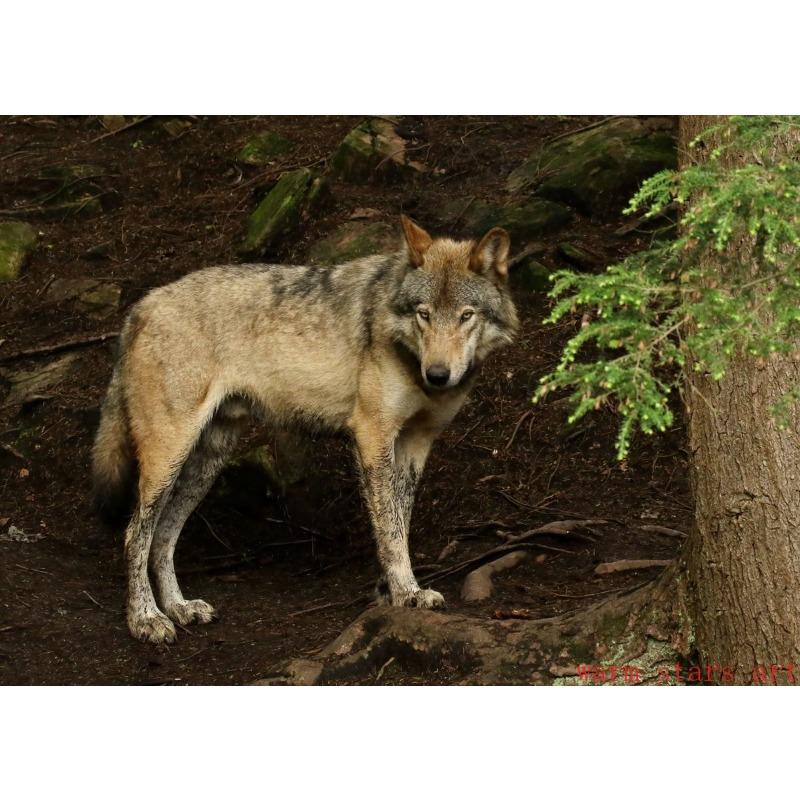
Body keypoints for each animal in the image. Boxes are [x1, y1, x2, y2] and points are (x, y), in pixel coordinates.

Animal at [92, 215, 518, 644]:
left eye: (466, 315)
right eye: (424, 314)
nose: (438, 375)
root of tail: (143, 305)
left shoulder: (415, 443)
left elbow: (399, 520)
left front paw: (391, 592)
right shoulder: (373, 434)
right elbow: (391, 529)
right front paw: (407, 592)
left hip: (207, 461)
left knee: (163, 536)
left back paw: (179, 607)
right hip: (170, 455)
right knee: (135, 534)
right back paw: (145, 618)